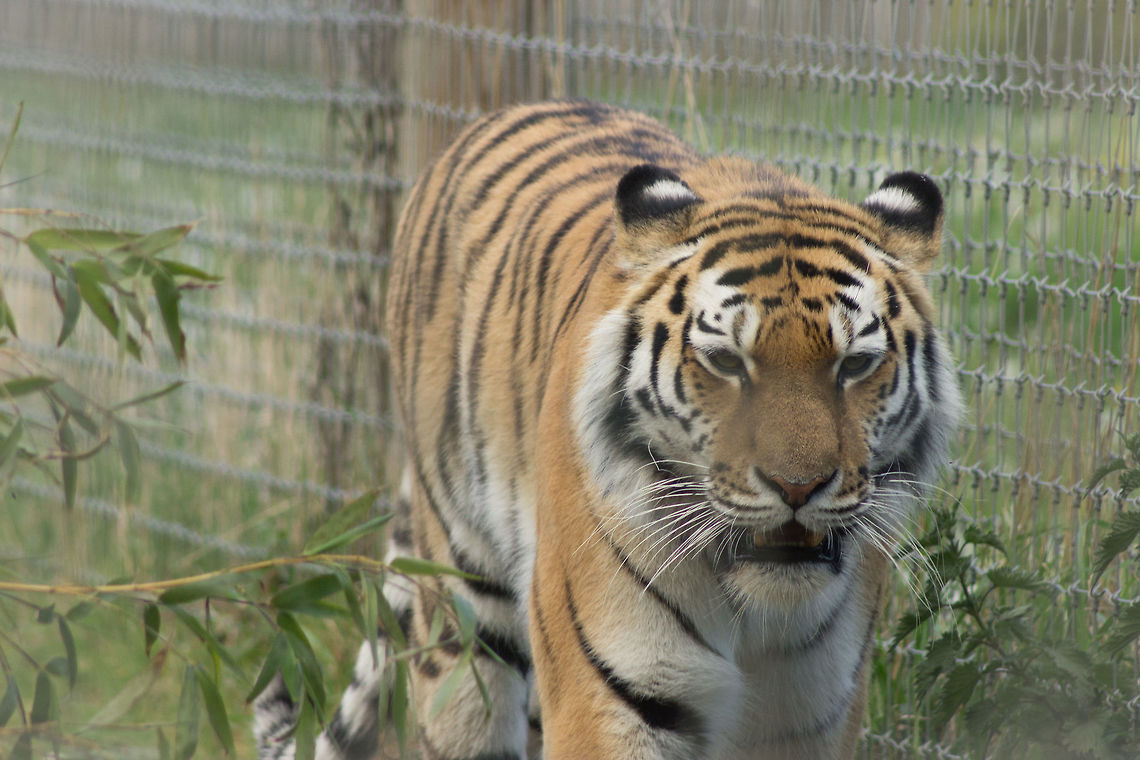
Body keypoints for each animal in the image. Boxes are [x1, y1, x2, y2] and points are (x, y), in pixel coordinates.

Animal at [255, 99, 961, 760]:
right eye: (727, 362)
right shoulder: (611, 699)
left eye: (855, 364)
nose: (798, 487)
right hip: (463, 609)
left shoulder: (815, 715)